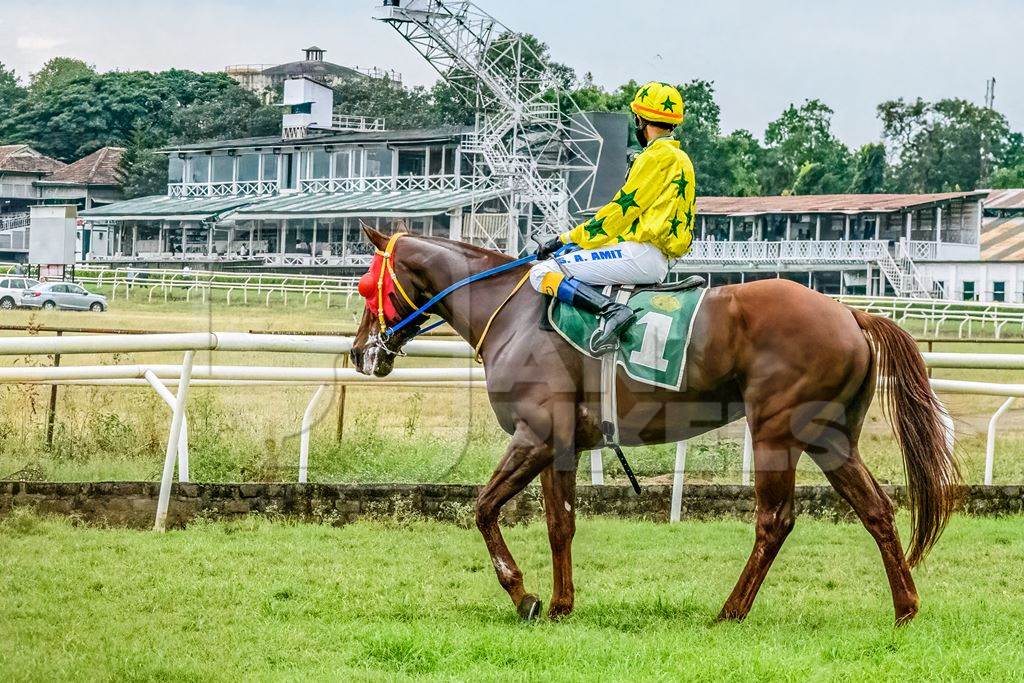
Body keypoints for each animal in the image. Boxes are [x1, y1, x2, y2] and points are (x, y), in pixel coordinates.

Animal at [352, 229, 958, 626]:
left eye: (364, 285)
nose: (360, 354)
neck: (515, 314)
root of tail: (849, 312)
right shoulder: (561, 445)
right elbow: (559, 525)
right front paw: (561, 606)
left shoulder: (534, 435)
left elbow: (481, 508)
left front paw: (523, 595)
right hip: (831, 439)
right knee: (876, 510)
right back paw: (905, 608)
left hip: (777, 432)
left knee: (775, 521)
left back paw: (730, 611)